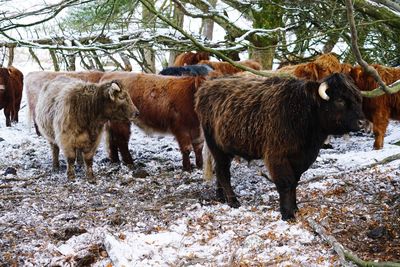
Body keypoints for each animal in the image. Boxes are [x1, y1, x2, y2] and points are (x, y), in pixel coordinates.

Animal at [195, 73, 368, 220]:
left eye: (358, 98)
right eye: (339, 100)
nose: (362, 122)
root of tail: (206, 86)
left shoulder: (301, 158)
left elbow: (294, 182)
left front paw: (295, 208)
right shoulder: (277, 156)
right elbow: (285, 183)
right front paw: (287, 214)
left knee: (220, 170)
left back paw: (221, 196)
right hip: (216, 146)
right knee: (223, 171)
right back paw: (233, 201)